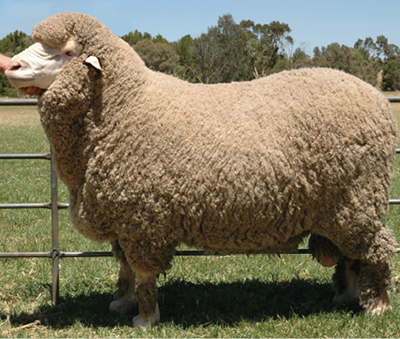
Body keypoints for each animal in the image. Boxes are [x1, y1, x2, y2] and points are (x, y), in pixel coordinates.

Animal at [5, 11, 396, 328]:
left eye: (67, 52)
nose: (9, 65)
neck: (123, 106)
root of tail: (375, 97)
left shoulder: (145, 218)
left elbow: (144, 274)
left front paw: (145, 319)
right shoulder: (124, 217)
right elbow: (125, 268)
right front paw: (121, 303)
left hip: (357, 199)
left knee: (378, 247)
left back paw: (378, 305)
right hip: (340, 208)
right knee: (350, 254)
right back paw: (347, 296)